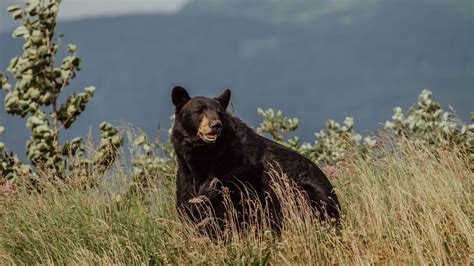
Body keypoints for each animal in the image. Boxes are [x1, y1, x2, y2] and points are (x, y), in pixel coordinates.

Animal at [171, 86, 340, 232]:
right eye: (199, 111)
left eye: (220, 113)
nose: (216, 125)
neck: (203, 157)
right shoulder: (186, 176)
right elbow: (189, 204)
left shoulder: (236, 173)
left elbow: (231, 207)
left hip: (302, 193)